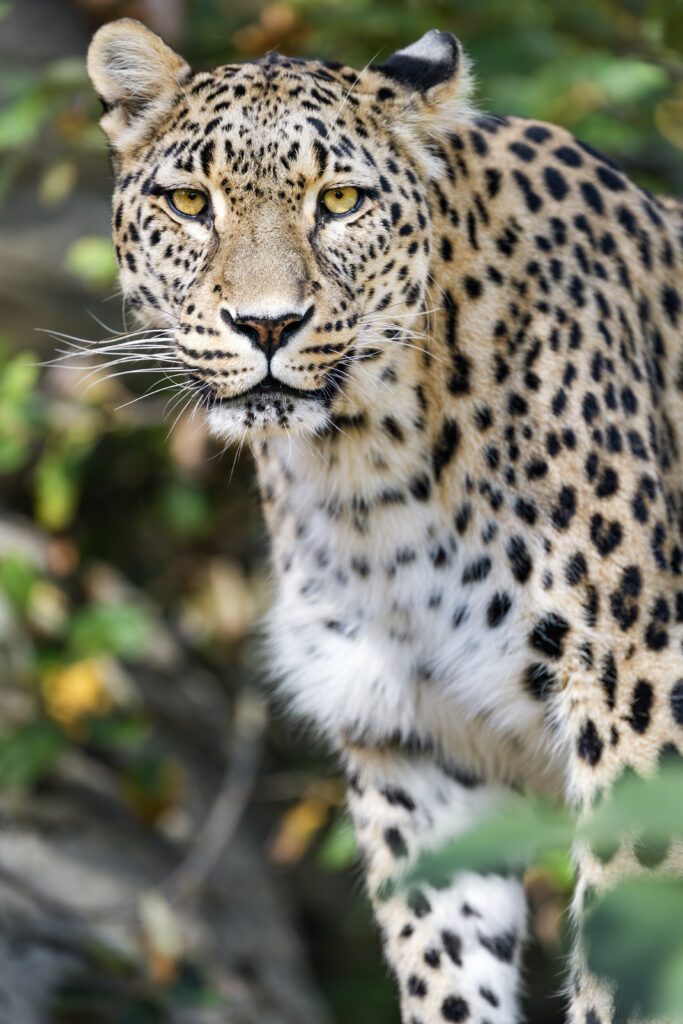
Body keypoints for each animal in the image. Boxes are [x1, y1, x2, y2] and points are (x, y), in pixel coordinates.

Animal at [86, 18, 683, 1024]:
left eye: (339, 200)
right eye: (189, 202)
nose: (267, 326)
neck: (370, 475)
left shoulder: (637, 693)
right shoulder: (410, 736)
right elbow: (445, 962)